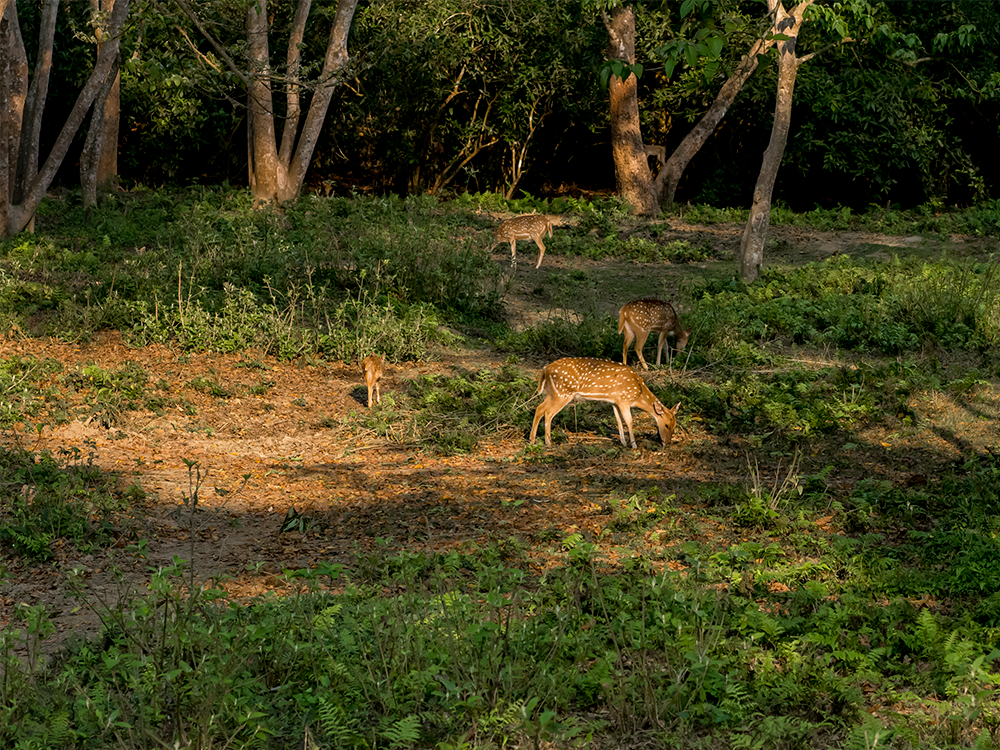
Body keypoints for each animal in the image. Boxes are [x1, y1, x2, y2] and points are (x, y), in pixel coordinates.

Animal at [528, 356, 684, 450]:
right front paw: (634, 445)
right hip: (563, 393)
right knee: (548, 412)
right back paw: (548, 442)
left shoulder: (614, 401)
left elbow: (618, 421)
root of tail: (545, 370)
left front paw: (623, 442)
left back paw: (532, 439)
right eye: (666, 425)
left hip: (551, 393)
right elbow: (629, 420)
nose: (667, 442)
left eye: (675, 425)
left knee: (539, 408)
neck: (638, 393)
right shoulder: (623, 399)